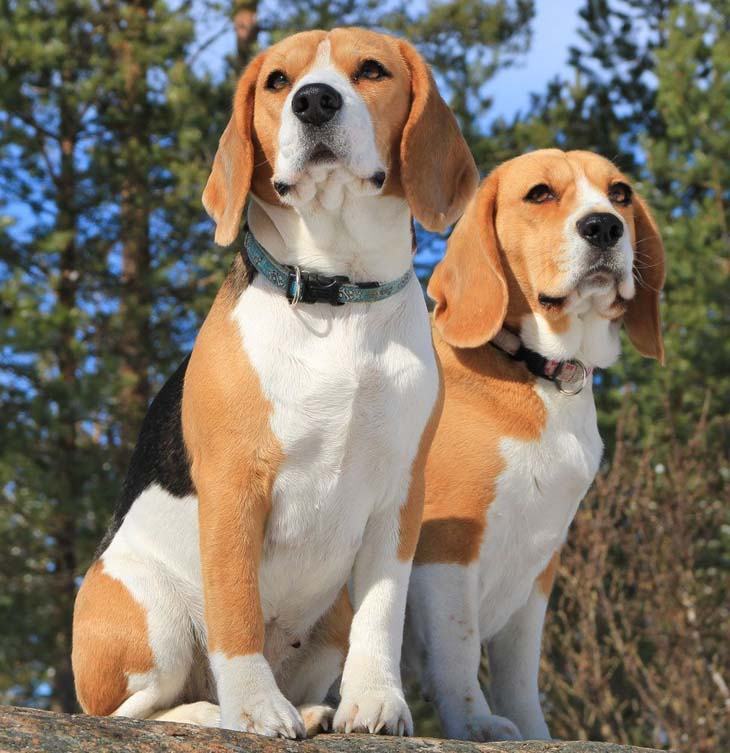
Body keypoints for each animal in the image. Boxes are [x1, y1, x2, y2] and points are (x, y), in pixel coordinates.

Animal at [71, 27, 474, 736]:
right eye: (277, 81)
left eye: (372, 70)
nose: (314, 101)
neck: (336, 298)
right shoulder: (237, 484)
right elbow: (237, 615)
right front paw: (256, 709)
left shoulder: (401, 497)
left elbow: (384, 614)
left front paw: (376, 700)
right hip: (154, 614)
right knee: (131, 710)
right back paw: (212, 710)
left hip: (330, 619)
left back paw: (309, 709)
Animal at [400, 148, 664, 740]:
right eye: (540, 194)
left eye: (620, 193)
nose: (604, 226)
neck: (538, 373)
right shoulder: (448, 541)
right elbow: (458, 647)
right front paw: (475, 723)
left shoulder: (540, 566)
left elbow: (519, 671)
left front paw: (535, 733)